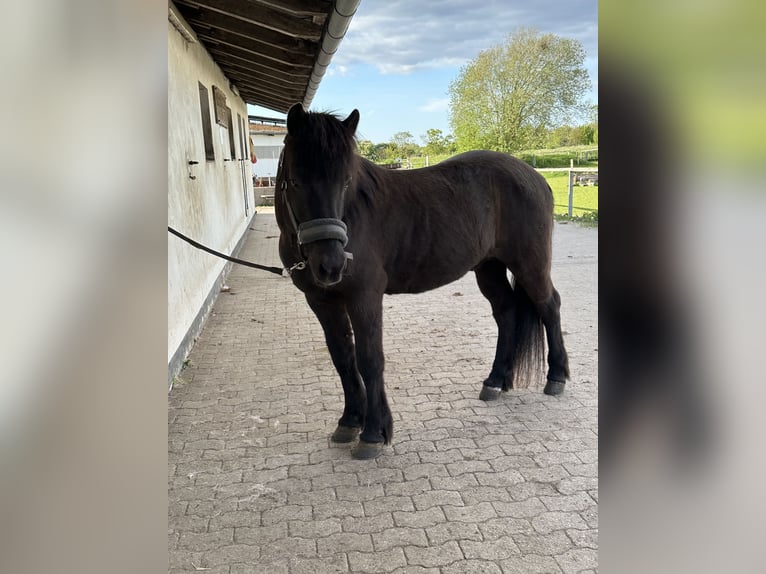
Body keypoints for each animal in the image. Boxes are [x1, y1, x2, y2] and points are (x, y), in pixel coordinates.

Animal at [275, 103, 569, 459]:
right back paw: (495, 381)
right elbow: (343, 358)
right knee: (507, 312)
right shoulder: (321, 301)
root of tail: (535, 176)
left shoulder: (364, 297)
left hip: (530, 265)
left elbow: (369, 359)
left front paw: (373, 433)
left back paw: (556, 378)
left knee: (549, 306)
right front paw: (349, 422)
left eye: (346, 182)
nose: (331, 265)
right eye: (295, 181)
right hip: (489, 268)